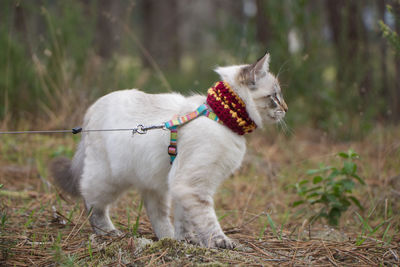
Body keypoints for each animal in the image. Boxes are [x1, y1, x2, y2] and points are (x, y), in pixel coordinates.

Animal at [50, 51, 288, 249]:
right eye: (275, 96)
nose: (286, 109)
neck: (221, 116)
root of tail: (91, 110)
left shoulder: (181, 184)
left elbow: (185, 220)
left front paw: (186, 240)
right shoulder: (193, 183)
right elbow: (208, 220)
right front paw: (220, 242)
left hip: (155, 182)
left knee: (156, 214)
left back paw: (167, 238)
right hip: (109, 179)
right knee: (91, 201)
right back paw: (109, 232)